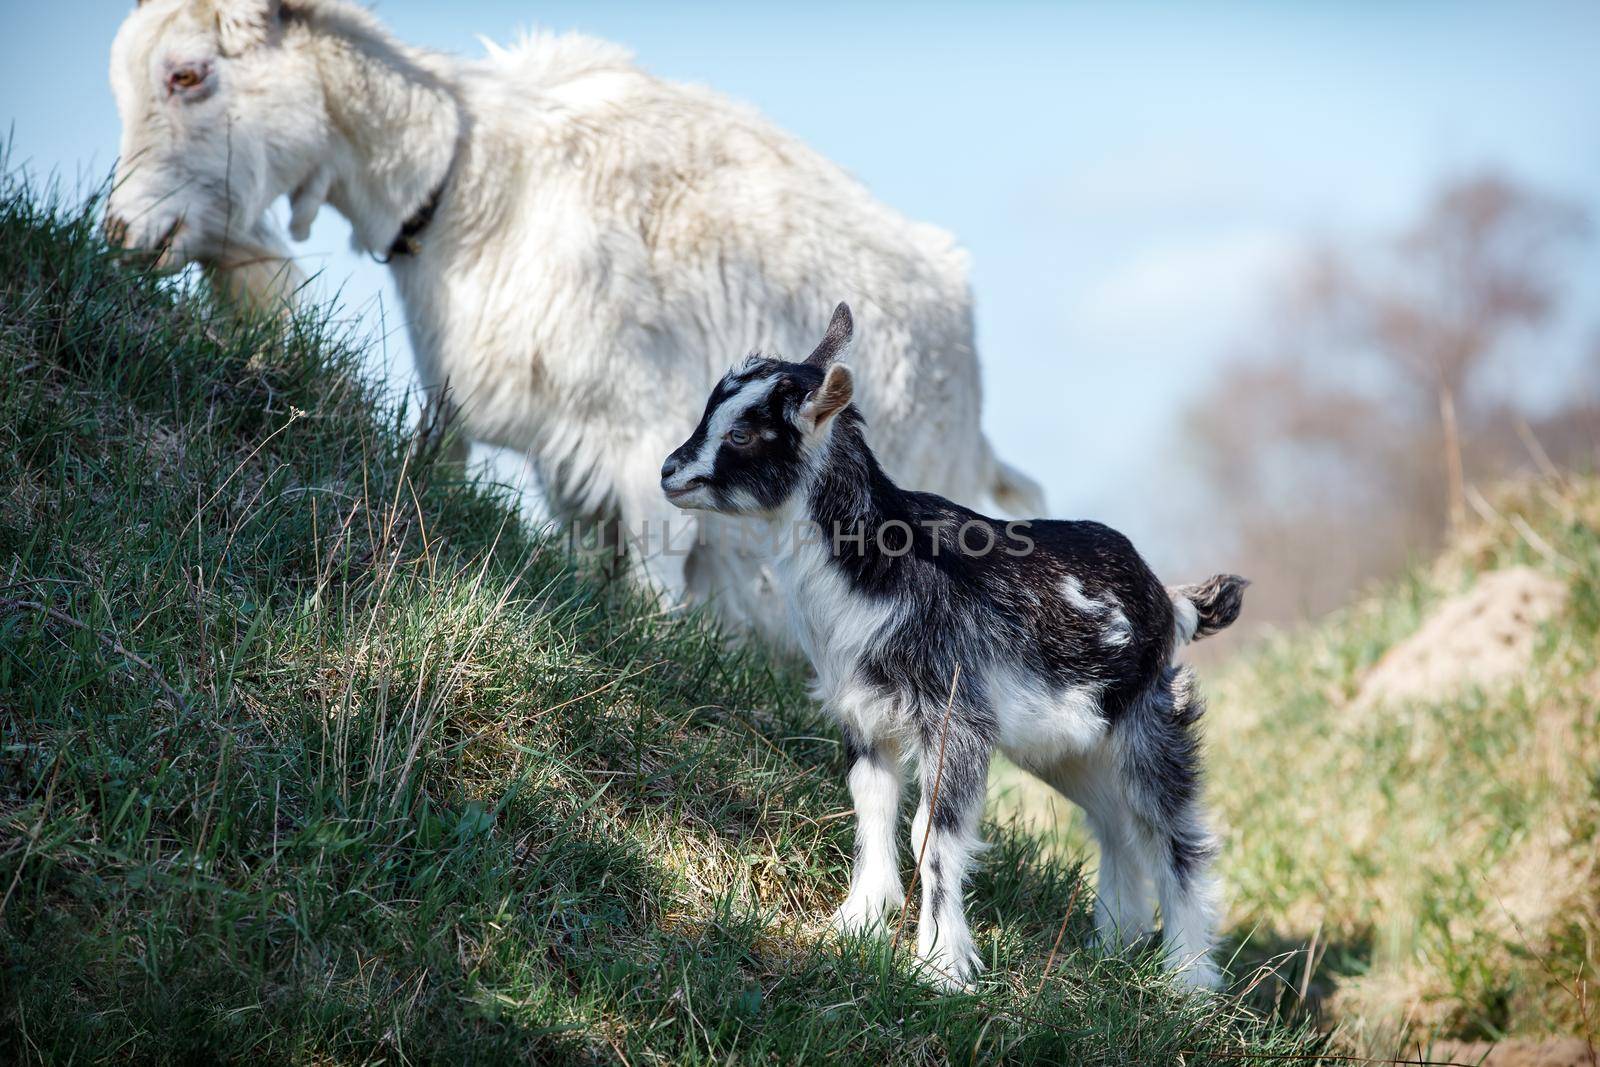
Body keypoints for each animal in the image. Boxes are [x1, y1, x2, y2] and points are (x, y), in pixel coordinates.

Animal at [106, 0, 1043, 643]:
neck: (485, 182)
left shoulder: (649, 443)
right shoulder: (473, 410)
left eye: (188, 73)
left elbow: (658, 590)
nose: (121, 232)